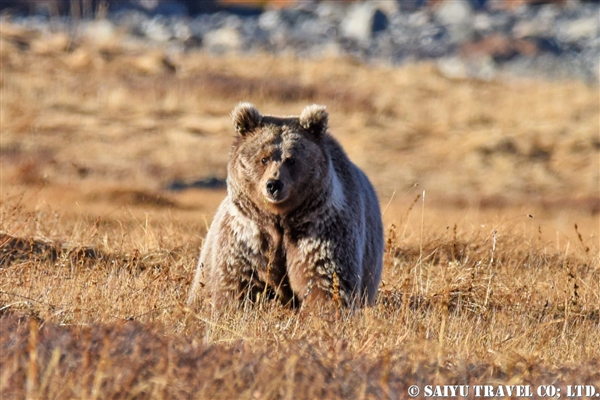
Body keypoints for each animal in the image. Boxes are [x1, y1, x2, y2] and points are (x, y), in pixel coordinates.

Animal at [188, 103, 384, 310]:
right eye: (264, 158)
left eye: (291, 159)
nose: (274, 184)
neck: (280, 218)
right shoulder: (249, 235)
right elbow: (237, 281)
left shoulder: (321, 229)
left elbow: (326, 281)